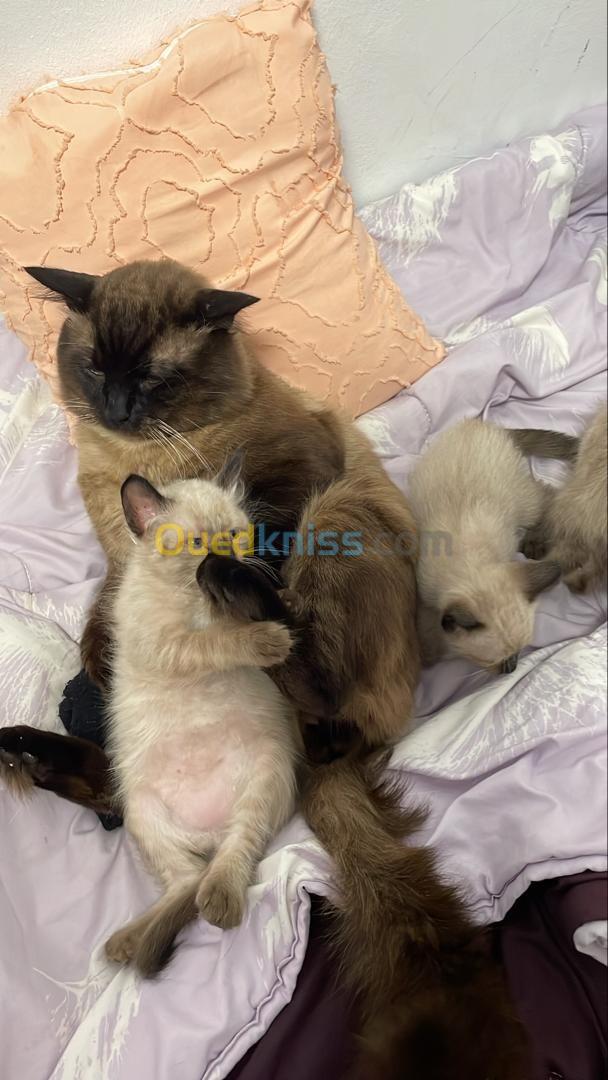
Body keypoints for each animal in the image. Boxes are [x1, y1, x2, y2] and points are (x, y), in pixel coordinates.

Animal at [103, 471, 299, 975]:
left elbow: (232, 622)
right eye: (195, 542)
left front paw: (265, 604)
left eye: (233, 534)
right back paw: (127, 943)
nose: (220, 559)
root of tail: (209, 832)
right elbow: (213, 641)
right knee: (186, 881)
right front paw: (265, 639)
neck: (195, 601)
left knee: (227, 857)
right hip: (141, 809)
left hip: (266, 771)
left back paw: (217, 902)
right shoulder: (167, 645)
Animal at [408, 419, 561, 673]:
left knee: (551, 496)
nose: (511, 669)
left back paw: (534, 542)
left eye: (520, 651)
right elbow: (427, 626)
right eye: (491, 661)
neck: (470, 563)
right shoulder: (425, 597)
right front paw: (428, 655)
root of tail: (487, 424)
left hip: (524, 504)